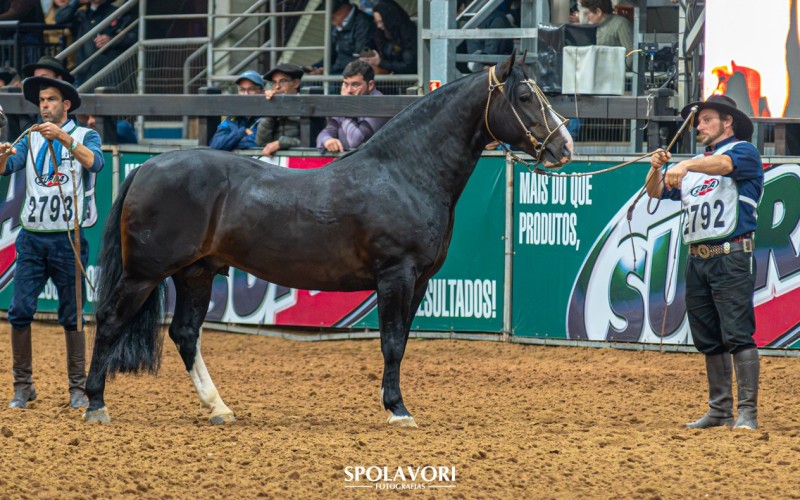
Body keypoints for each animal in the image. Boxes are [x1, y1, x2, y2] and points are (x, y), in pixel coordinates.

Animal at [83, 51, 573, 426]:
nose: (564, 146)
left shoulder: (419, 282)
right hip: (144, 274)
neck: (405, 173)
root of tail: (147, 167)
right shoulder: (396, 276)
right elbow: (391, 342)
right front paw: (398, 411)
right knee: (109, 321)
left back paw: (219, 408)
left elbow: (401, 342)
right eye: (525, 96)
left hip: (196, 274)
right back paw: (94, 404)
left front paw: (395, 404)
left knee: (185, 334)